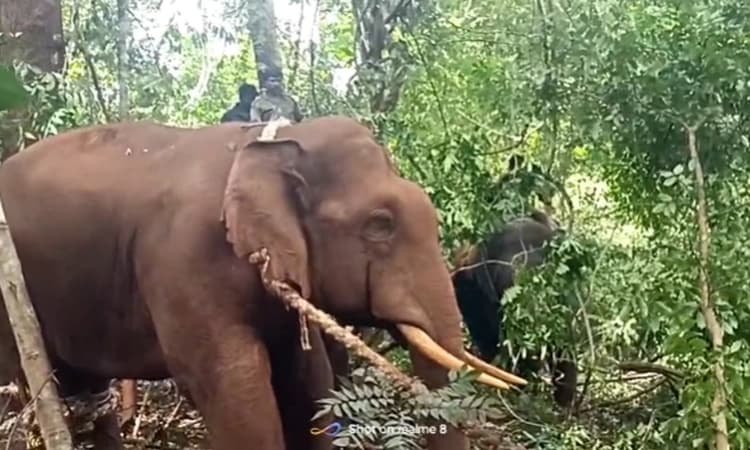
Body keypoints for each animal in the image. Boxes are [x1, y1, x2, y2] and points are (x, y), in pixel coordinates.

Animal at [0, 116, 523, 450]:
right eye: (380, 225)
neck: (269, 143)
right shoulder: (185, 260)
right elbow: (235, 386)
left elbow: (307, 382)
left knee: (86, 390)